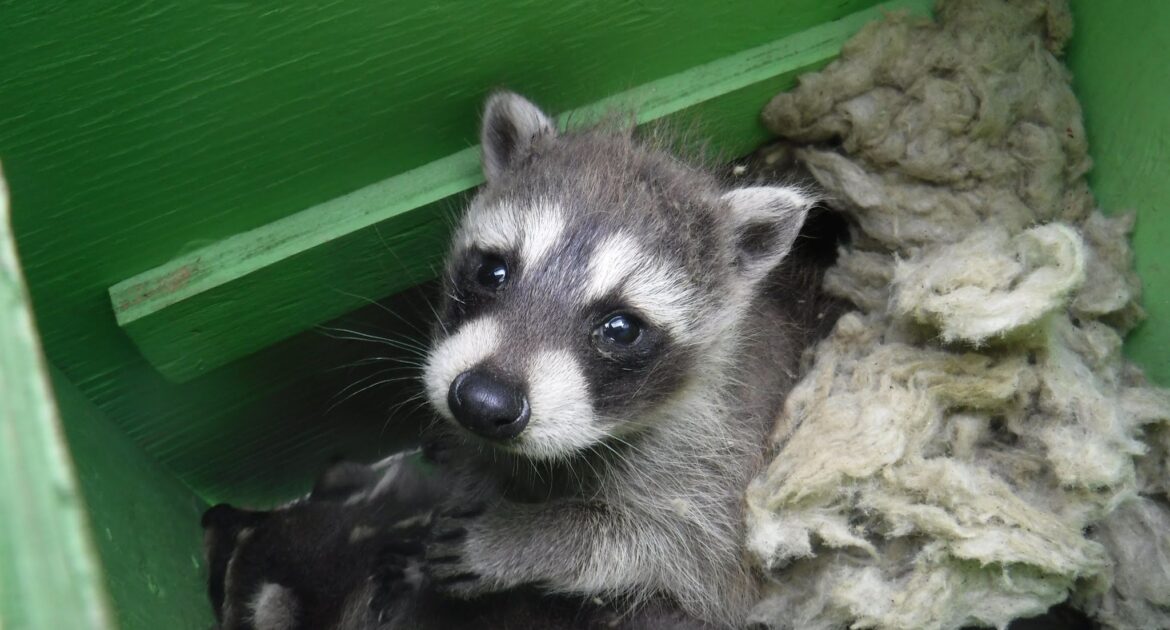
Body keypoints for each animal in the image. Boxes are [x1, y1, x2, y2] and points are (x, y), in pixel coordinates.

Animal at [421, 90, 823, 622]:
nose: (483, 403)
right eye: (492, 271)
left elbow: (686, 550)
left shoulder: (719, 456)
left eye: (621, 328)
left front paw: (531, 537)